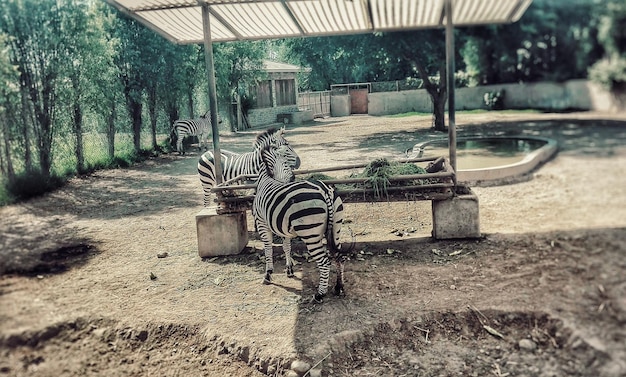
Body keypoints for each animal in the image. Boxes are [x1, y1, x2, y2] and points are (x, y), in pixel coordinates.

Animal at [251, 142, 346, 302]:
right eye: (286, 163)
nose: (292, 178)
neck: (266, 179)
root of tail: (324, 190)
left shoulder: (262, 224)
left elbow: (268, 249)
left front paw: (268, 274)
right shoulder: (283, 229)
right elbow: (287, 247)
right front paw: (289, 270)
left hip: (310, 233)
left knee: (324, 262)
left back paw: (320, 294)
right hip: (336, 228)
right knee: (338, 256)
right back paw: (339, 287)